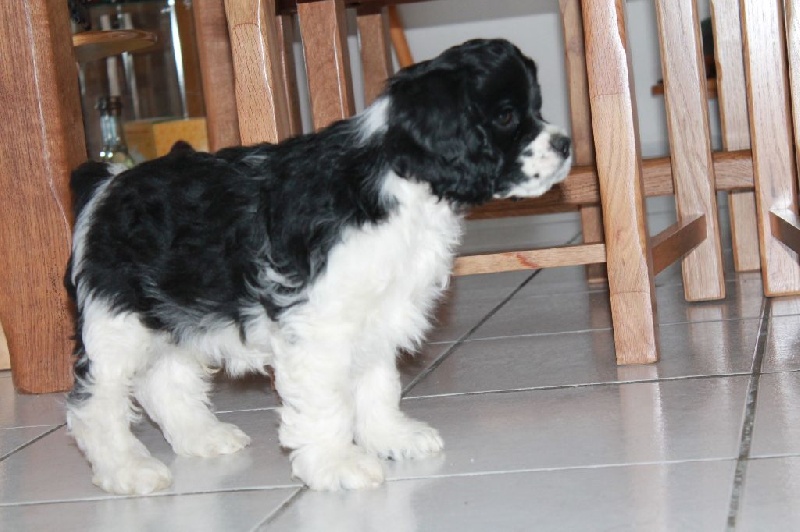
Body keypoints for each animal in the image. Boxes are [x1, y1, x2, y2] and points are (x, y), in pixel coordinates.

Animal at [64, 39, 572, 495]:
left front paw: (391, 437)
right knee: (96, 403)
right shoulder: (318, 326)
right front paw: (338, 464)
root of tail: (106, 184)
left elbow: (378, 384)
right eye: (506, 117)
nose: (566, 143)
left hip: (174, 315)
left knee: (164, 381)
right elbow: (328, 401)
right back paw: (127, 470)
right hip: (118, 322)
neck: (397, 182)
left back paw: (204, 437)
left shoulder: (374, 314)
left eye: (536, 107)